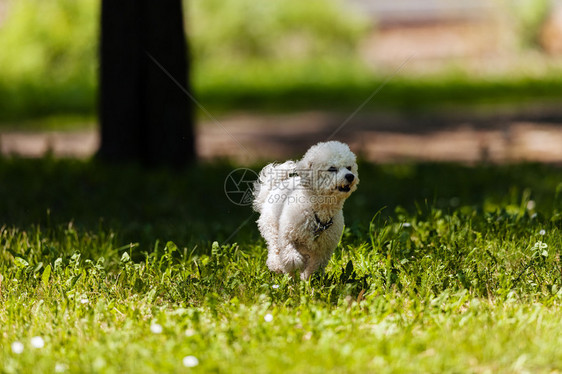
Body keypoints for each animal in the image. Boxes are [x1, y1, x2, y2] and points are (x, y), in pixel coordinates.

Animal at [252, 142, 356, 280]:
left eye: (349, 167)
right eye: (332, 168)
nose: (350, 176)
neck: (318, 213)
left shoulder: (324, 249)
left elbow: (315, 266)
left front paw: (307, 279)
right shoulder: (287, 233)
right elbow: (288, 252)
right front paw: (293, 264)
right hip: (271, 226)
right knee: (274, 247)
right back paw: (277, 266)